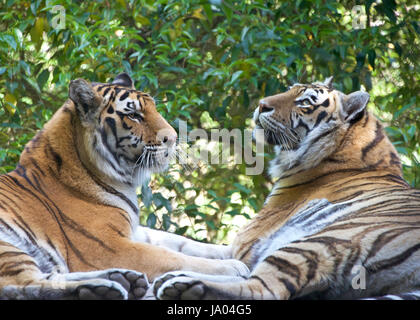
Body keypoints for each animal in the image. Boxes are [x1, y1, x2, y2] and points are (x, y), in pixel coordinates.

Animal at [0, 73, 248, 300]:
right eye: (133, 115)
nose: (173, 138)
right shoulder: (108, 247)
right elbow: (171, 256)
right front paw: (233, 266)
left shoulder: (133, 230)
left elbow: (181, 242)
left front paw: (232, 251)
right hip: (8, 246)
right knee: (23, 284)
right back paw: (100, 288)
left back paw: (121, 278)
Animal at [153, 77, 420, 300]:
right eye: (290, 89)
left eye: (305, 101)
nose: (261, 105)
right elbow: (178, 242)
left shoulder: (244, 245)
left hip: (318, 241)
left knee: (263, 289)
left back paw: (185, 286)